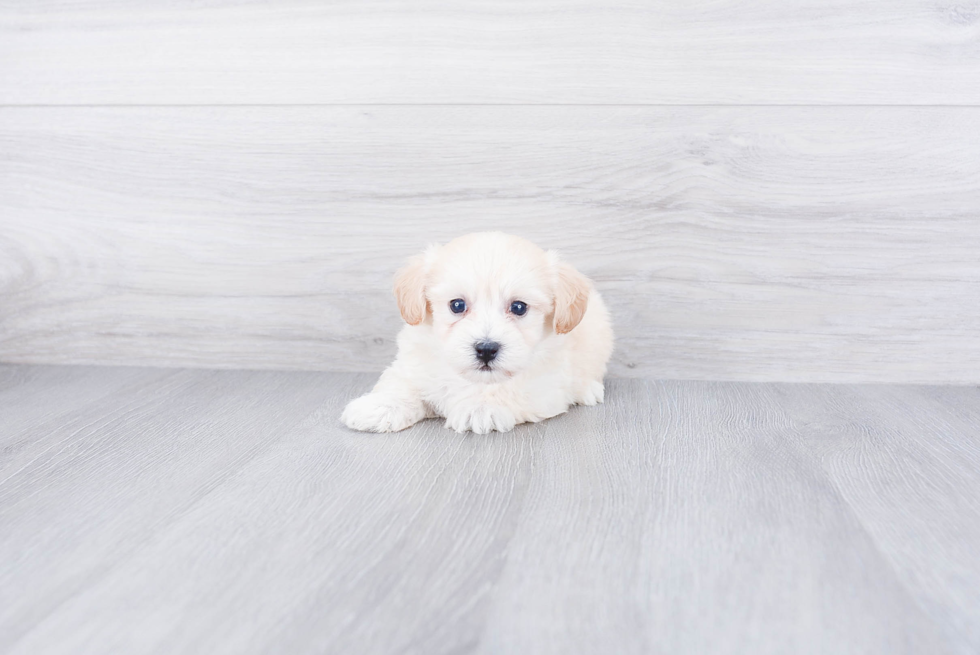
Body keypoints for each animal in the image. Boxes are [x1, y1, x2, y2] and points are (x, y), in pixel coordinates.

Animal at [340, 232, 608, 436]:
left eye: (519, 307)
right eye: (457, 305)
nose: (486, 349)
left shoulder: (544, 383)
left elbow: (510, 388)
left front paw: (482, 407)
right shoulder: (412, 365)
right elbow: (402, 385)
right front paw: (380, 406)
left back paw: (589, 389)